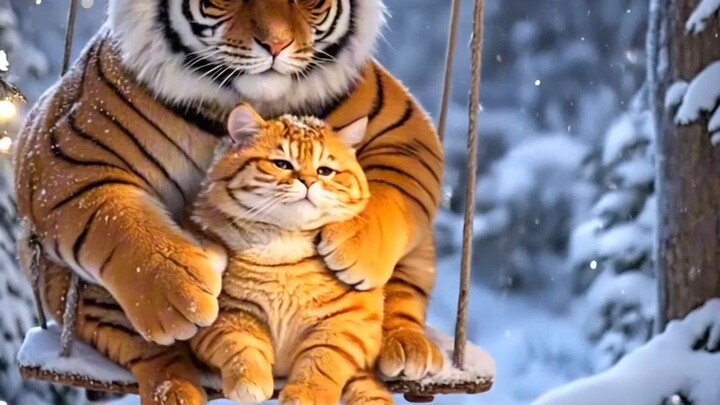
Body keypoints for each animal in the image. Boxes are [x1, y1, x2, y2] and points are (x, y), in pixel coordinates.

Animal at [188, 103, 394, 405]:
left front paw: (306, 396)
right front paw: (249, 382)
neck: (285, 243)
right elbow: (239, 343)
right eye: (282, 164)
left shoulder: (349, 321)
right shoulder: (226, 311)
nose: (308, 182)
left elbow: (321, 360)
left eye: (325, 170)